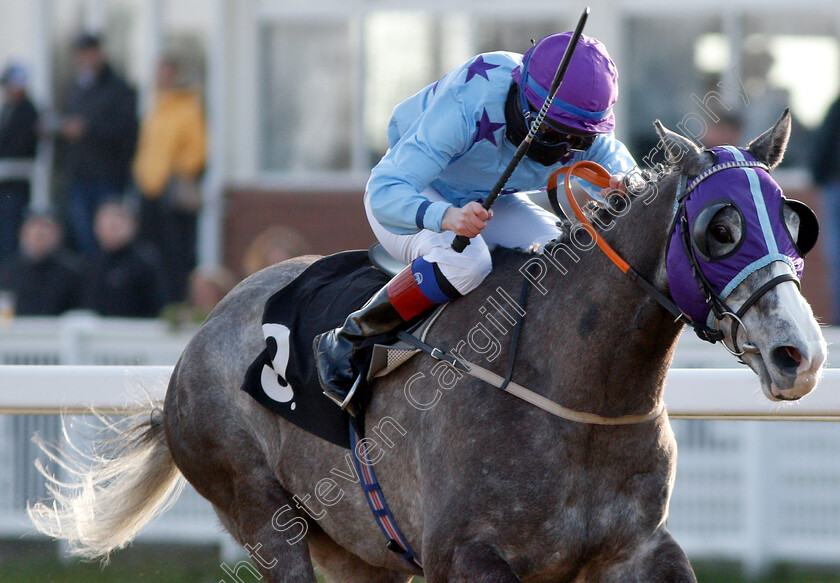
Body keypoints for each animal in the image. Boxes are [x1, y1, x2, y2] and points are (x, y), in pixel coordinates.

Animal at [29, 112, 824, 580]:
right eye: (720, 229)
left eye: (793, 222)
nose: (800, 355)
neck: (577, 395)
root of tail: (195, 345)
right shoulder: (465, 555)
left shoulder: (638, 550)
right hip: (264, 518)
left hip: (357, 550)